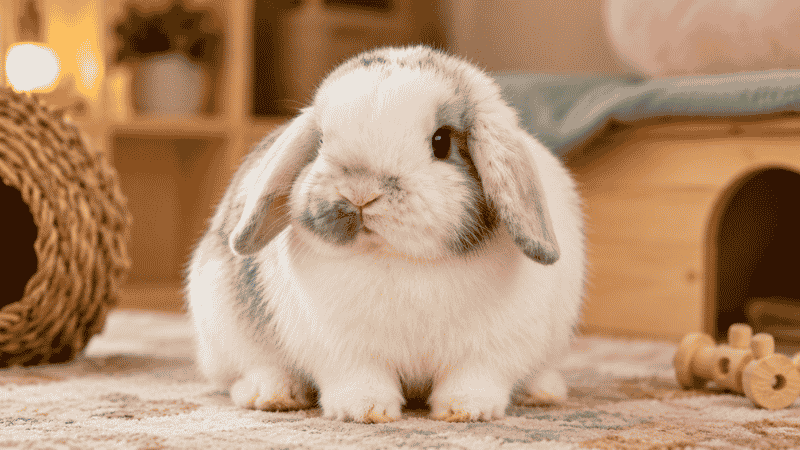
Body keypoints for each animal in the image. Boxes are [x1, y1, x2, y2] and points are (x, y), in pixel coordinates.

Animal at [186, 45, 586, 423]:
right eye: (320, 142)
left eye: (441, 141)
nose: (359, 193)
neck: (397, 257)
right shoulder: (343, 351)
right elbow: (361, 379)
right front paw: (364, 411)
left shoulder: (491, 351)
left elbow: (473, 379)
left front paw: (467, 410)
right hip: (223, 332)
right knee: (250, 370)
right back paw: (271, 395)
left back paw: (544, 392)